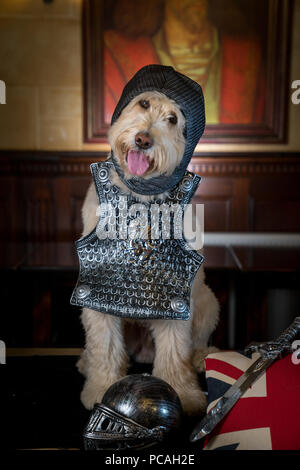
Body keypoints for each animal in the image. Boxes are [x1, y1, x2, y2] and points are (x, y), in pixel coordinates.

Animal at [75, 67, 218, 414]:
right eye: (143, 103)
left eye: (172, 119)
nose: (143, 139)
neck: (139, 193)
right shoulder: (96, 295)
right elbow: (104, 347)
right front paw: (100, 387)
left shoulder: (176, 300)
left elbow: (175, 352)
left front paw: (185, 394)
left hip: (207, 301)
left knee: (195, 343)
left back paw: (202, 357)